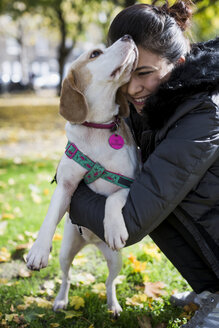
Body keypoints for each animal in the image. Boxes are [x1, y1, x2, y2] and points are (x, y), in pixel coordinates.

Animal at [25, 35, 139, 316]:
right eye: (96, 53)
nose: (128, 37)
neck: (97, 129)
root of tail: (91, 242)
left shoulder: (128, 183)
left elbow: (112, 200)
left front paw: (113, 227)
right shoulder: (65, 185)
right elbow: (49, 218)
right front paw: (37, 250)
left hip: (116, 259)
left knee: (110, 282)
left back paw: (113, 304)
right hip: (66, 251)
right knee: (66, 277)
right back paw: (61, 300)